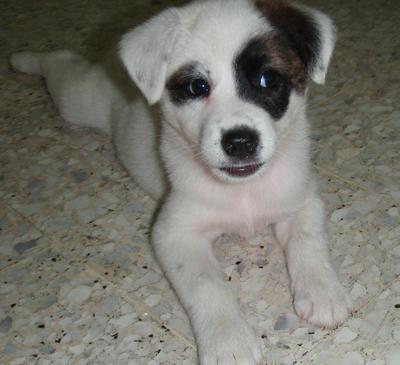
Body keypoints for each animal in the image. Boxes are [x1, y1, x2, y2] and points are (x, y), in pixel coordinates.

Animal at [10, 0, 354, 362]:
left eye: (267, 78)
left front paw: (322, 291)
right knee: (60, 64)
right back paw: (23, 58)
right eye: (197, 87)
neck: (242, 192)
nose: (240, 142)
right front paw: (228, 341)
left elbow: (308, 240)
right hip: (79, 102)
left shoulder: (302, 199)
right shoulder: (175, 233)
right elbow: (206, 284)